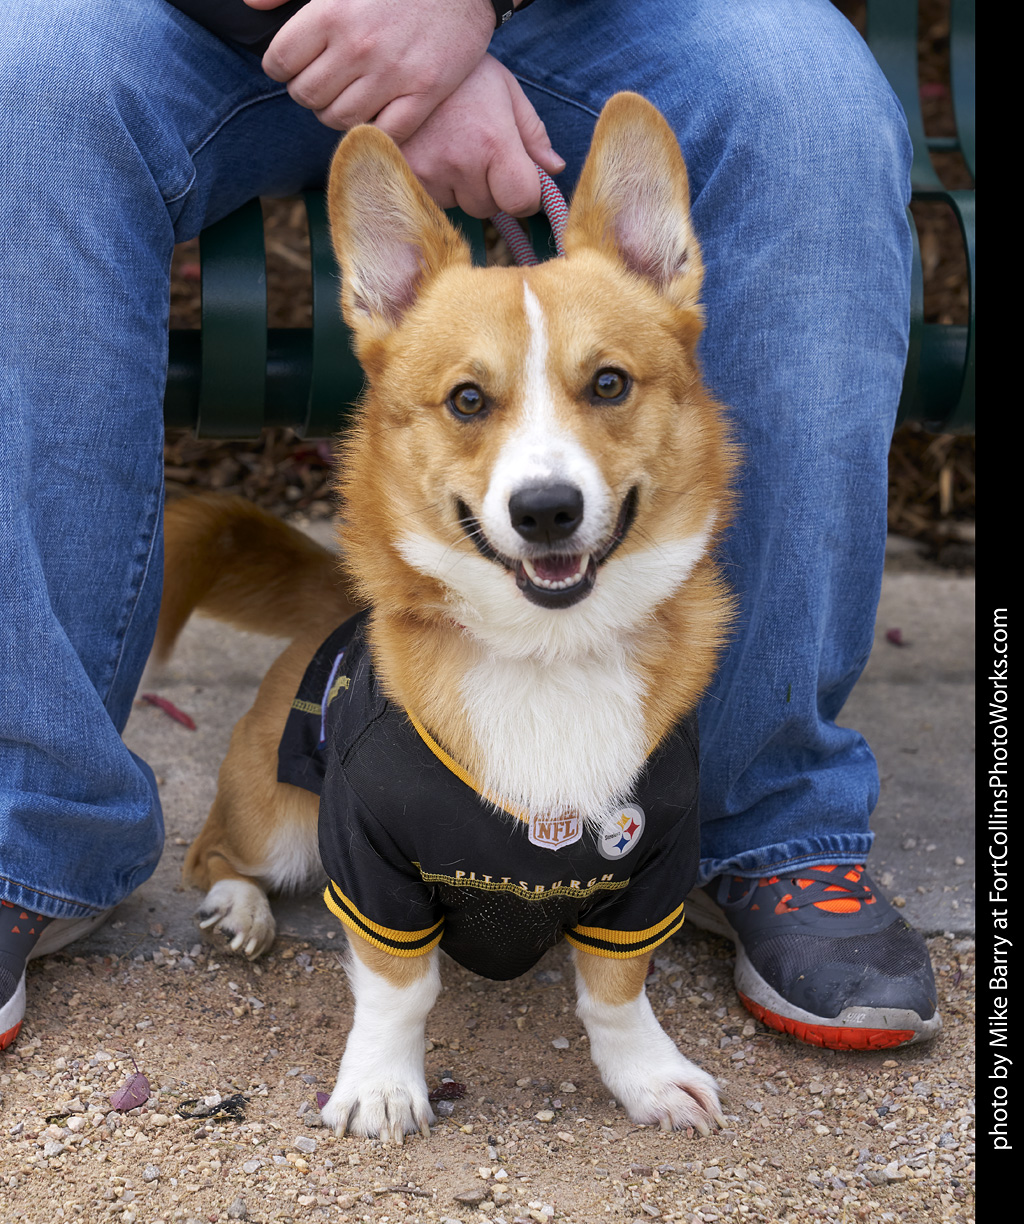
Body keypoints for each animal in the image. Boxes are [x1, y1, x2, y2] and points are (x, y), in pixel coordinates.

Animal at [160, 93, 734, 1135]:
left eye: (609, 384)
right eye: (468, 399)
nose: (545, 510)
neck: (547, 656)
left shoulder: (650, 877)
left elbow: (617, 993)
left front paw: (646, 1077)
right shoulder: (367, 864)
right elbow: (399, 987)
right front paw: (383, 1085)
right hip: (278, 824)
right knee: (213, 851)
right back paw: (244, 909)